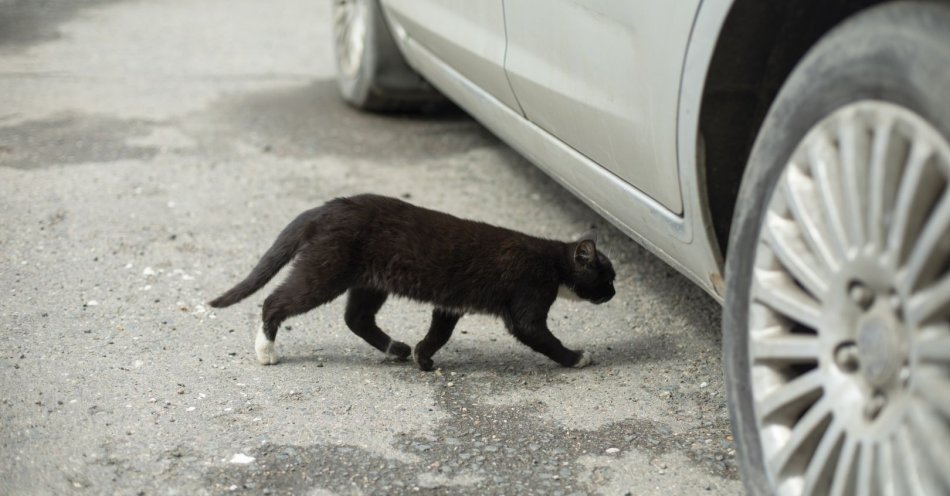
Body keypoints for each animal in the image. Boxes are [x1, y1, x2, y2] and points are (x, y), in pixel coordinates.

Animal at [210, 193, 616, 368]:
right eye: (607, 276)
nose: (614, 292)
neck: (553, 263)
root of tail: (324, 208)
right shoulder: (527, 300)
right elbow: (539, 334)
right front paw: (576, 357)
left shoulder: (449, 305)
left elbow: (439, 333)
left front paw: (423, 358)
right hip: (325, 271)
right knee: (274, 302)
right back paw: (266, 352)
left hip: (370, 281)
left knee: (356, 318)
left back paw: (397, 349)